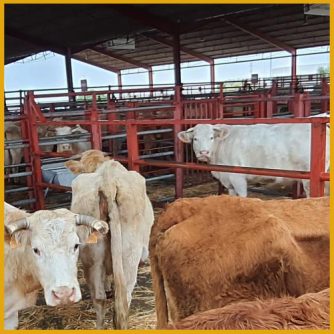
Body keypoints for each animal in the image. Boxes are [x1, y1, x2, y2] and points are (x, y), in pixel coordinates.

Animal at [179, 122, 330, 197]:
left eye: (211, 137)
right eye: (195, 139)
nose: (204, 152)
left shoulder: (237, 177)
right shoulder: (228, 181)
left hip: (309, 180)